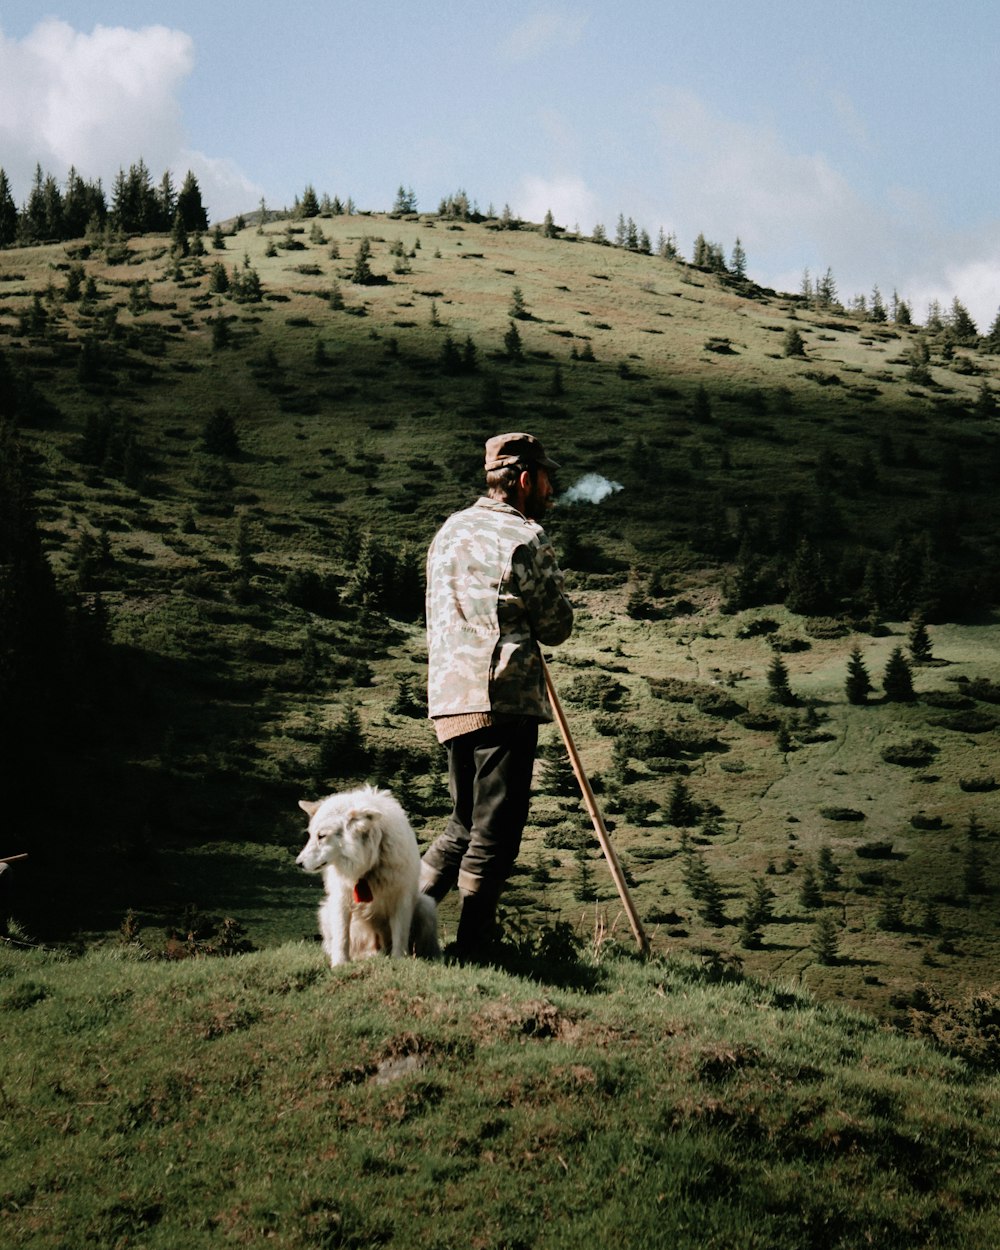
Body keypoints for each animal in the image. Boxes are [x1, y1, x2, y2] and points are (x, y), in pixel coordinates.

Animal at [295, 785, 440, 960]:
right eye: (310, 835)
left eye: (321, 836)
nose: (298, 863)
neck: (369, 865)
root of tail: (378, 949)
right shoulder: (341, 898)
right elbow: (342, 937)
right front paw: (340, 963)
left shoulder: (402, 899)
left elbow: (400, 936)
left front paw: (398, 960)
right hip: (326, 912)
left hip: (426, 906)